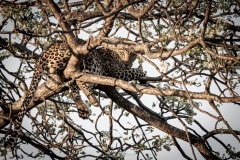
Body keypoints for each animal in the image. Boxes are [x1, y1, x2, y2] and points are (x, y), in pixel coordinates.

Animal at [4, 38, 144, 149]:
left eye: (132, 55)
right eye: (122, 53)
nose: (127, 63)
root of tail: (44, 53)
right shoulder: (116, 71)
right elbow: (134, 71)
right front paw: (142, 73)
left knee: (73, 86)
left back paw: (83, 107)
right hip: (83, 56)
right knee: (81, 78)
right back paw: (92, 99)